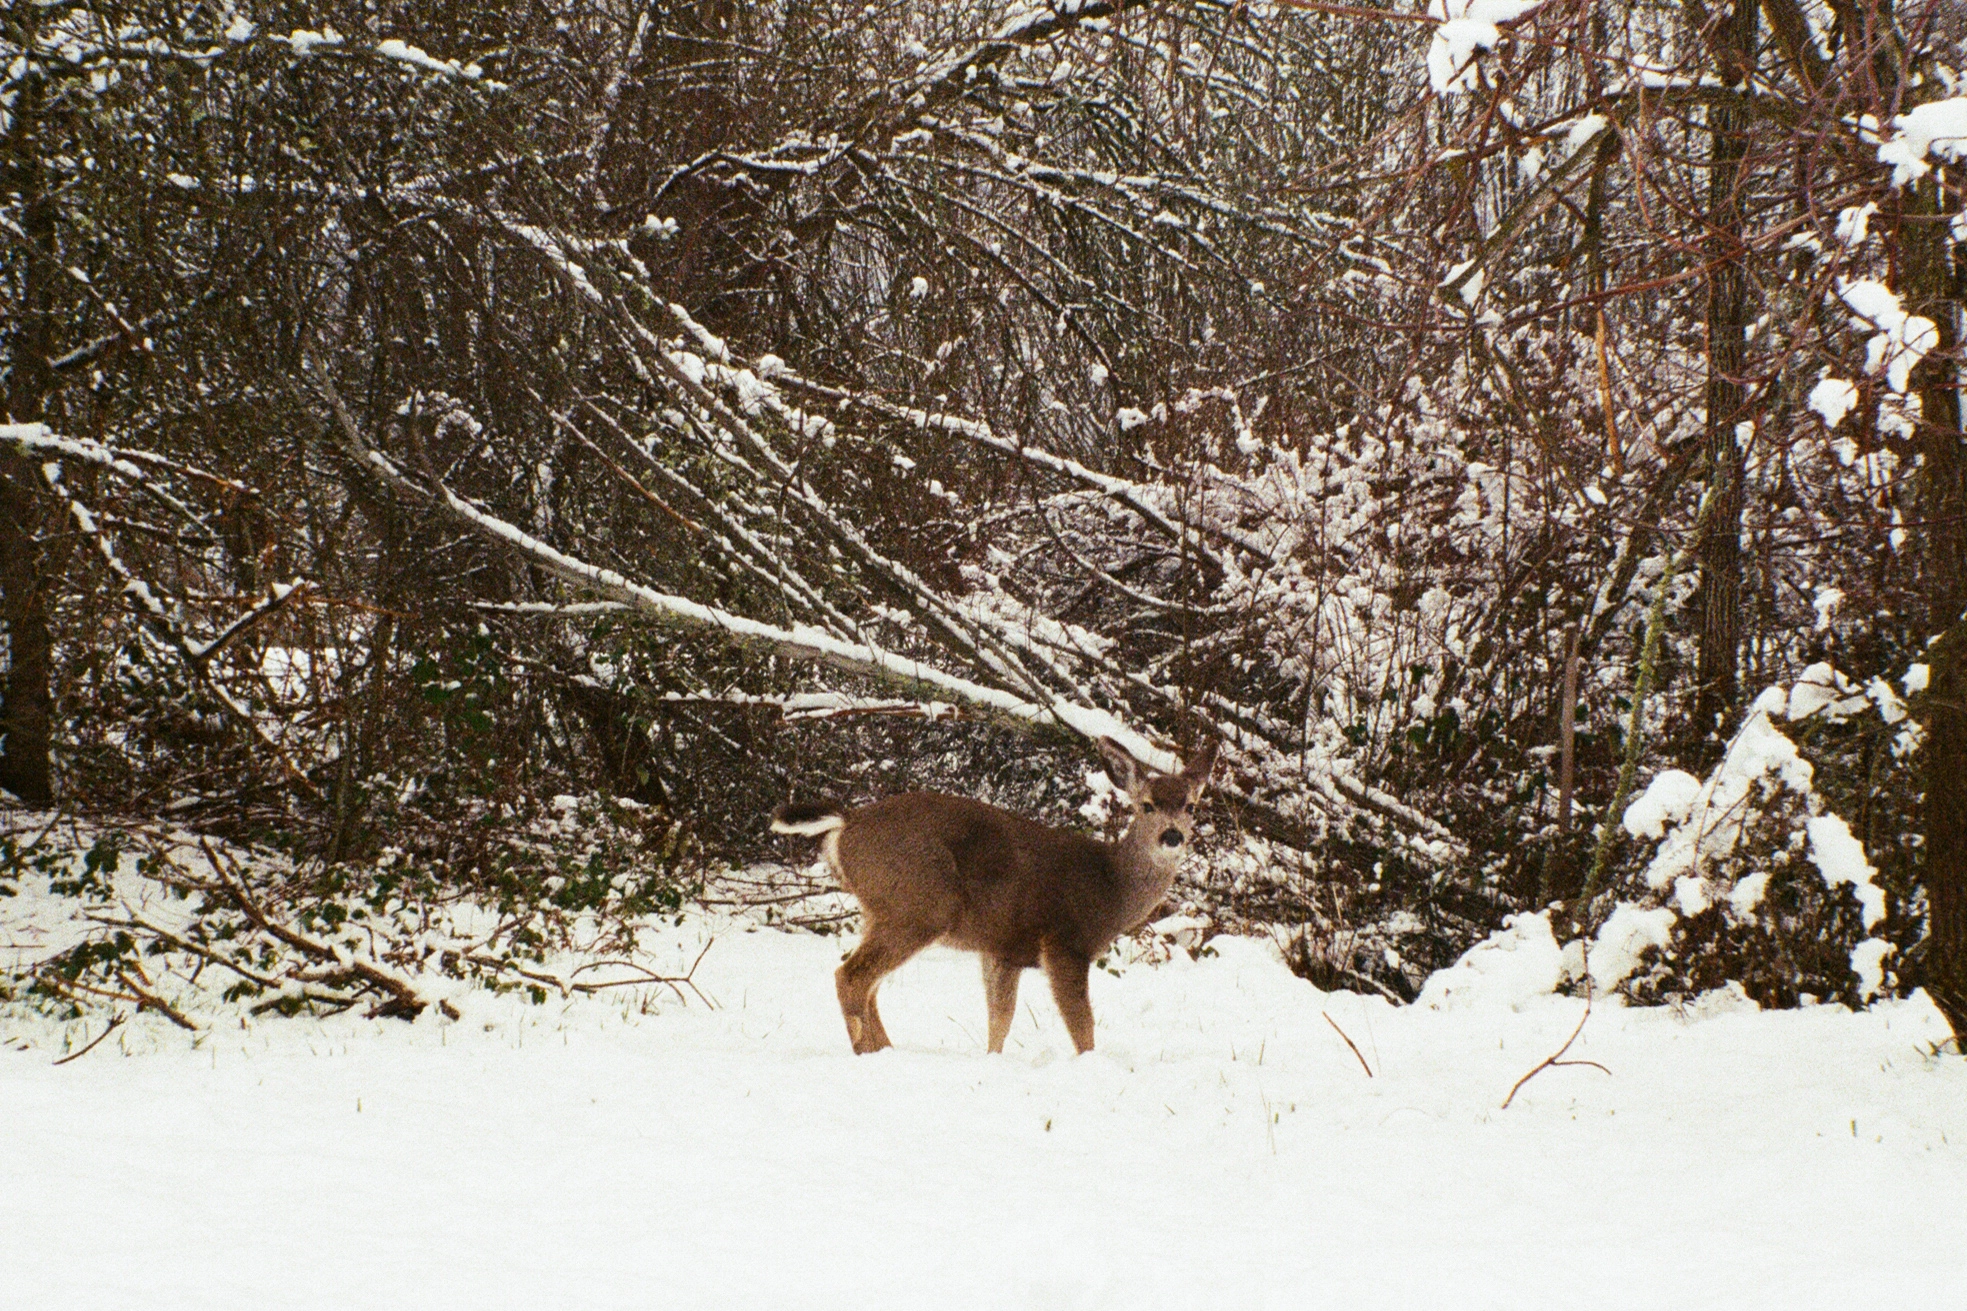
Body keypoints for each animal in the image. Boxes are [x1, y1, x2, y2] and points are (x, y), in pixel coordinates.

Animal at [771, 735, 1218, 1056]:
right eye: (1147, 805)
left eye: (1191, 806)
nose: (1172, 836)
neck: (1112, 888)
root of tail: (847, 823)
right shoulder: (1064, 943)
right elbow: (1082, 1027)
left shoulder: (1002, 950)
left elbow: (999, 1021)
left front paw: (992, 1061)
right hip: (921, 904)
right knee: (851, 976)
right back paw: (867, 1053)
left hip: (881, 908)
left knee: (868, 983)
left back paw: (886, 1051)